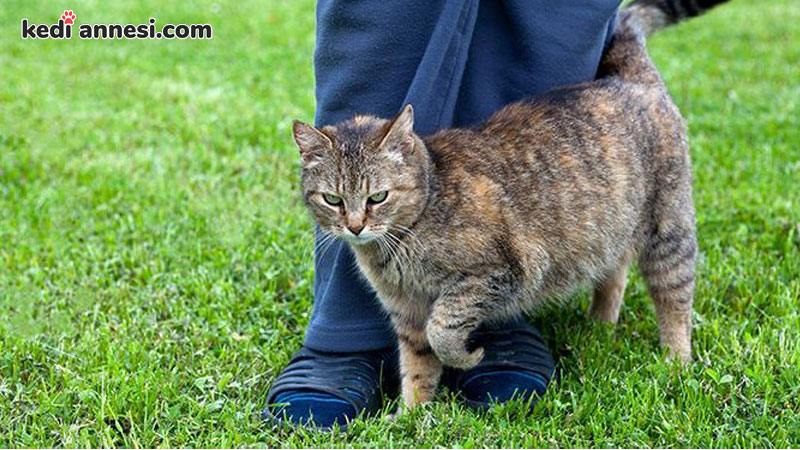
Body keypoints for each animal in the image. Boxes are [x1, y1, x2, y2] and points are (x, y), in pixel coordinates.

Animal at [290, 0, 728, 408]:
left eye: (377, 196)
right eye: (333, 199)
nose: (355, 226)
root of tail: (629, 74)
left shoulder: (500, 271)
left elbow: (442, 329)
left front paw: (468, 357)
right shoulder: (406, 311)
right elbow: (417, 365)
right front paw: (413, 417)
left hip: (668, 228)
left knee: (675, 297)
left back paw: (676, 361)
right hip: (611, 225)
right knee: (615, 270)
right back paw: (600, 326)